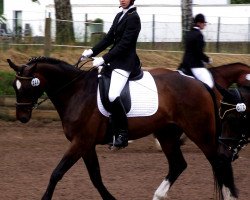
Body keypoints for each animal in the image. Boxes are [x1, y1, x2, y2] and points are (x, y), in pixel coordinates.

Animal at [7, 57, 238, 199]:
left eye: (29, 86)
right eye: (14, 87)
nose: (22, 117)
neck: (76, 91)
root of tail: (201, 84)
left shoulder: (81, 142)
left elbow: (57, 173)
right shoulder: (86, 144)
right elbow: (96, 178)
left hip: (200, 132)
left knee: (220, 163)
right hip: (167, 133)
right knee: (178, 165)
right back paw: (158, 195)